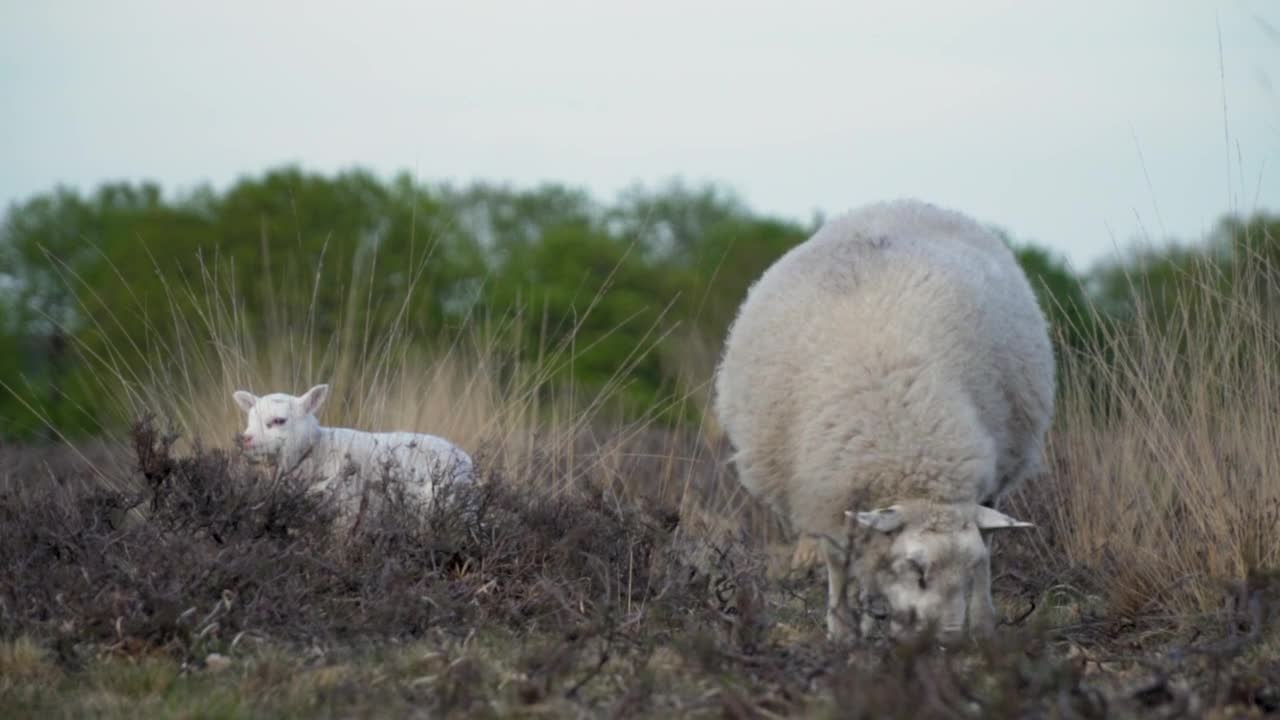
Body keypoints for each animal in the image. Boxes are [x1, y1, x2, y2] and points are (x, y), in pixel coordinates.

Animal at [231, 381, 476, 520]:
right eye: (249, 421)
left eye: (279, 421)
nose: (245, 440)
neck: (317, 450)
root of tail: (467, 463)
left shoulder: (347, 511)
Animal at [716, 198, 1054, 640]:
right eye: (917, 570)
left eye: (963, 573)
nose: (947, 640)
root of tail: (905, 203)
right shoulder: (828, 495)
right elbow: (839, 565)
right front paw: (843, 631)